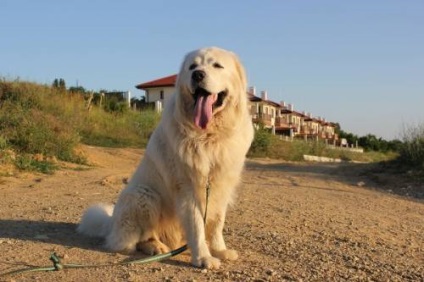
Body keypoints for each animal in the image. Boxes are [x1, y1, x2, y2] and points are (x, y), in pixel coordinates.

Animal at [78, 46, 253, 268]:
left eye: (217, 65)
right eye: (192, 67)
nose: (198, 75)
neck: (209, 136)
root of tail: (111, 223)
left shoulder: (221, 185)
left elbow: (216, 224)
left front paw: (219, 250)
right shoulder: (187, 189)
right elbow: (197, 226)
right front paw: (203, 257)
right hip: (144, 195)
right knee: (134, 240)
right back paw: (156, 247)